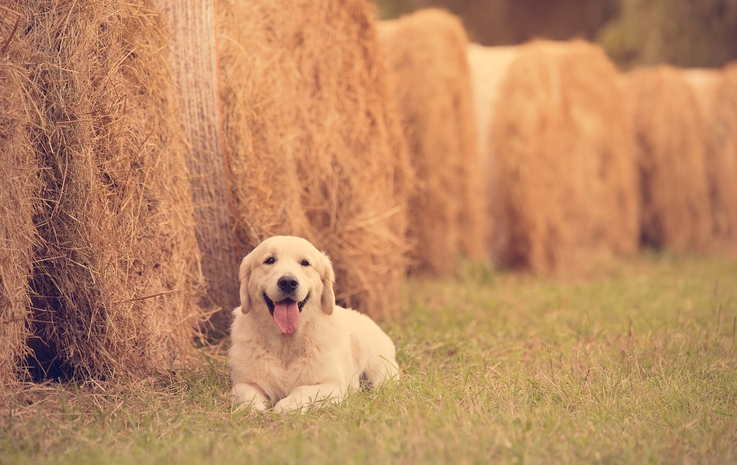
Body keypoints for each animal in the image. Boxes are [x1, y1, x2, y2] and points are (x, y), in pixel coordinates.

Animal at [230, 236, 402, 414]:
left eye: (305, 263)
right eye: (269, 260)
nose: (288, 282)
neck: (286, 343)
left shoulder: (332, 385)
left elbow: (301, 389)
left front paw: (287, 405)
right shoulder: (243, 383)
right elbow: (248, 394)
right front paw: (252, 408)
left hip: (381, 371)